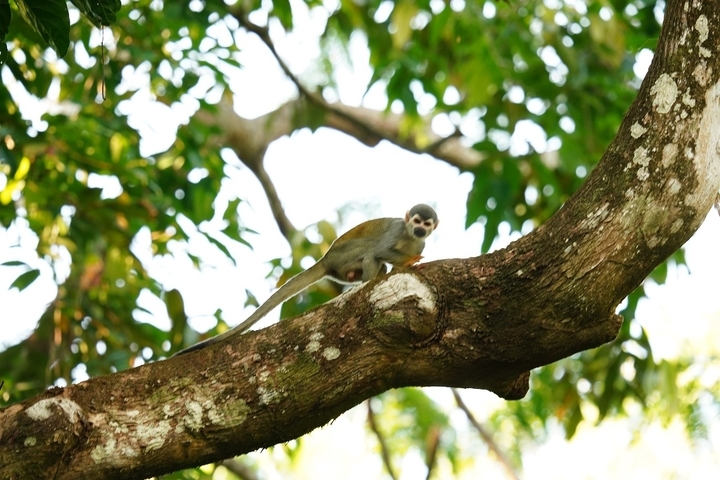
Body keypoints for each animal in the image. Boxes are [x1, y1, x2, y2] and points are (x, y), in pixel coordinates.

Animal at [173, 204, 439, 356]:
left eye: (426, 224)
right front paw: (411, 260)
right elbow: (382, 250)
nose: (420, 230)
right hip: (343, 255)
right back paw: (366, 282)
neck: (409, 236)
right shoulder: (397, 230)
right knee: (372, 251)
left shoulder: (421, 241)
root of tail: (325, 258)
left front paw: (408, 261)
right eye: (416, 221)